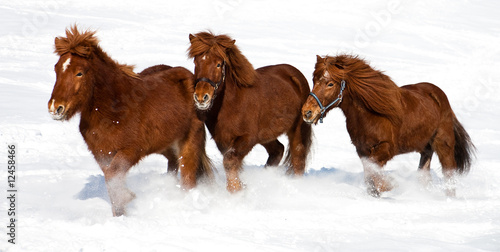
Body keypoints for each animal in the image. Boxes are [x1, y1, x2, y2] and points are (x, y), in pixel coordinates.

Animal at [47, 25, 211, 216]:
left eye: (79, 73)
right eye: (56, 69)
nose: (56, 108)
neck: (113, 110)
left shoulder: (130, 151)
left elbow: (113, 176)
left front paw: (129, 197)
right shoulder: (102, 154)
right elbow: (111, 180)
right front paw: (121, 212)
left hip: (189, 144)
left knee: (188, 179)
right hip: (166, 146)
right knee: (173, 165)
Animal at [188, 32, 312, 193]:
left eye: (218, 64)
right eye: (196, 63)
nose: (201, 97)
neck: (232, 103)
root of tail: (295, 73)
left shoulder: (247, 138)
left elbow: (229, 162)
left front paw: (235, 191)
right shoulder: (223, 141)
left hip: (297, 129)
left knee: (298, 158)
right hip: (266, 135)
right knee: (278, 150)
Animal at [302, 54, 474, 197]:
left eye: (330, 84)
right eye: (314, 80)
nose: (307, 112)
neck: (370, 115)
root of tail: (439, 95)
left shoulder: (385, 148)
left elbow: (374, 171)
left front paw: (389, 186)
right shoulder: (362, 150)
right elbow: (369, 176)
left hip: (443, 143)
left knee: (449, 172)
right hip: (425, 147)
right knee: (424, 172)